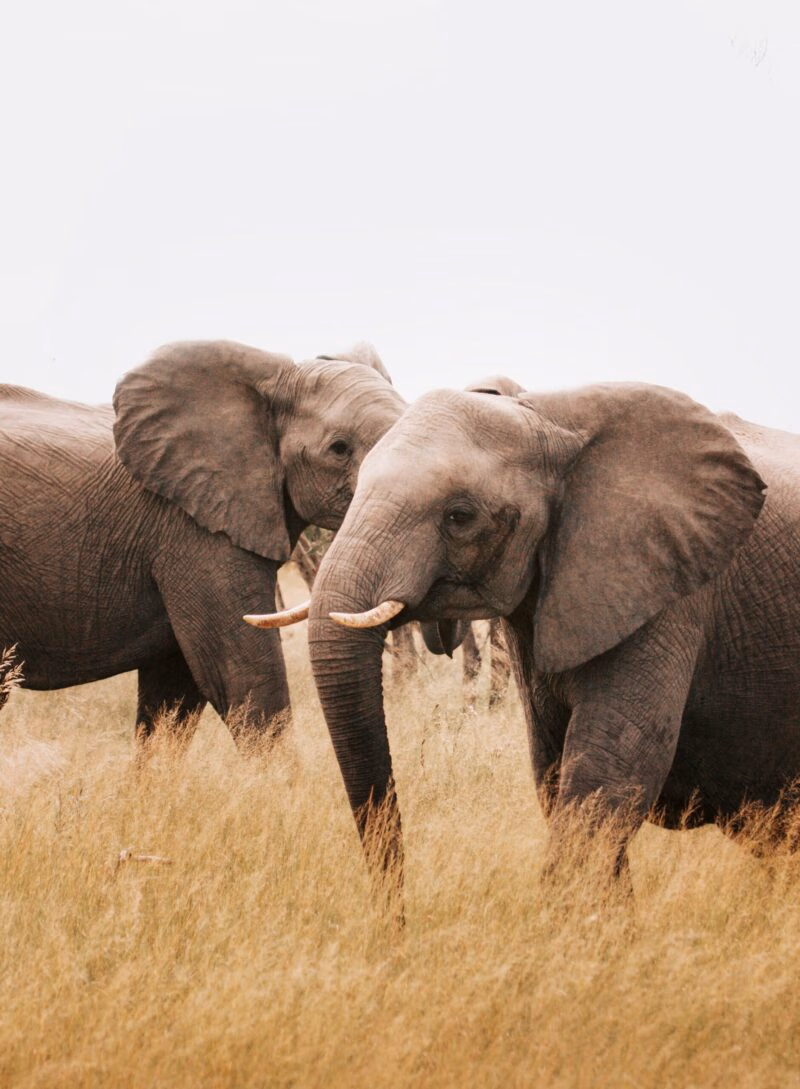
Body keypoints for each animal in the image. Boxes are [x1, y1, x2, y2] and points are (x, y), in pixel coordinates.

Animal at [298, 380, 800, 907]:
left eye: (459, 516)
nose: (396, 916)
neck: (546, 419)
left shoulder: (665, 593)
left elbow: (607, 779)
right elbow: (555, 775)